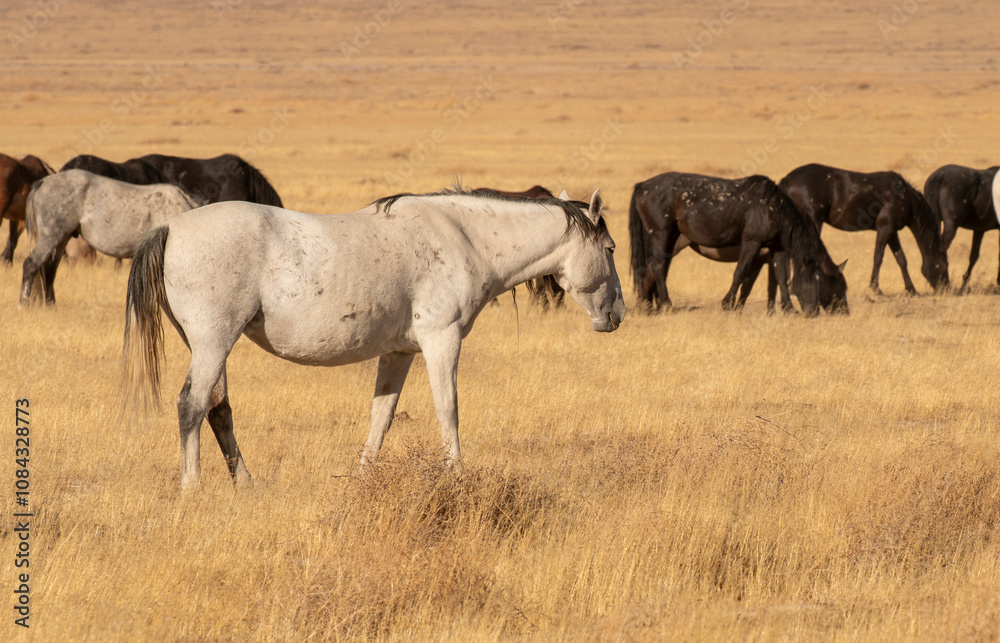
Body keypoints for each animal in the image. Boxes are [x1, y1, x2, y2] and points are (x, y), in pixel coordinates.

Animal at [19, 170, 204, 306]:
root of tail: (43, 182)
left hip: (61, 238)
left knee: (49, 269)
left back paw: (51, 305)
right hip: (51, 236)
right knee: (31, 264)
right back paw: (24, 303)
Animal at [120, 189, 624, 491]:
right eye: (612, 249)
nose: (618, 313)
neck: (465, 238)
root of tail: (170, 228)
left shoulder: (399, 353)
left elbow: (381, 417)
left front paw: (362, 479)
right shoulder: (441, 341)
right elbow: (449, 410)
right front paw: (457, 475)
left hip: (209, 347)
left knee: (217, 408)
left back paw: (245, 484)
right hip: (214, 342)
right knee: (191, 405)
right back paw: (192, 488)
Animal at [628, 172, 848, 316]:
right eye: (835, 286)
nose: (813, 312)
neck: (772, 208)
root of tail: (642, 185)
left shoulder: (776, 248)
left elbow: (779, 278)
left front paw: (787, 308)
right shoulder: (752, 243)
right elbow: (740, 274)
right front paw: (728, 304)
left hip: (669, 240)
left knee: (651, 270)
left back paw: (649, 307)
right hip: (662, 235)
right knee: (657, 268)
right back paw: (665, 305)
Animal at [779, 163, 949, 294]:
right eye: (945, 265)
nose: (946, 288)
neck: (905, 198)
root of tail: (788, 179)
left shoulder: (892, 231)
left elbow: (901, 259)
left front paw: (912, 289)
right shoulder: (885, 228)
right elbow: (878, 257)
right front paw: (876, 288)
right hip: (813, 222)